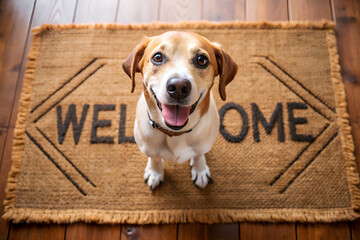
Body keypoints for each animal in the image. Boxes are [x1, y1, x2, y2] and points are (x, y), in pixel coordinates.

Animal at [122, 31, 238, 189]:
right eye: (158, 57)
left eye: (201, 59)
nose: (178, 87)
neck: (176, 134)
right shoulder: (149, 149)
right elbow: (155, 158)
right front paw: (155, 172)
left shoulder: (202, 146)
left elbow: (198, 155)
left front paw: (200, 169)